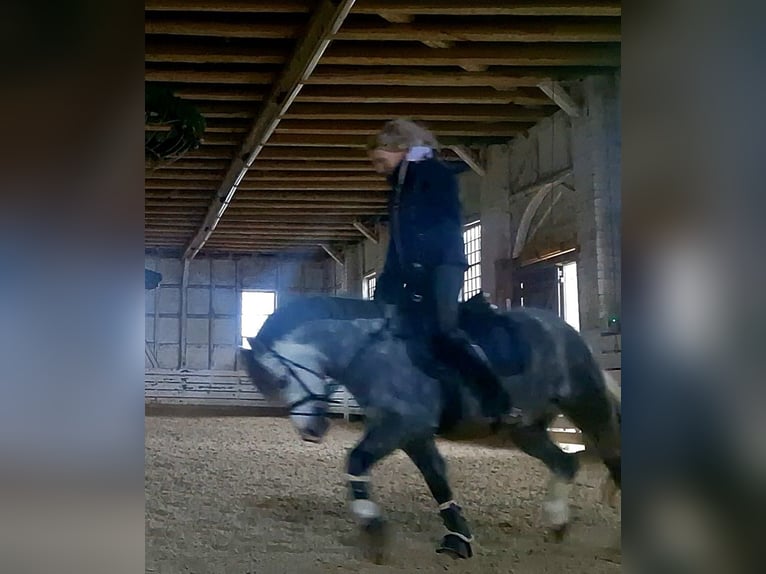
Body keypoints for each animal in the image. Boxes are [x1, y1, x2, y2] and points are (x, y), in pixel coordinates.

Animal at [240, 293, 621, 562]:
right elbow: (436, 478)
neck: (372, 353)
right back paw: (557, 522)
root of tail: (566, 330)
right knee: (565, 463)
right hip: (526, 430)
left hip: (586, 404)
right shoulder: (414, 434)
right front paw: (459, 540)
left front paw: (372, 526)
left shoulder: (403, 424)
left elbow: (357, 460)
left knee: (611, 453)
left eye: (281, 378)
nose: (312, 431)